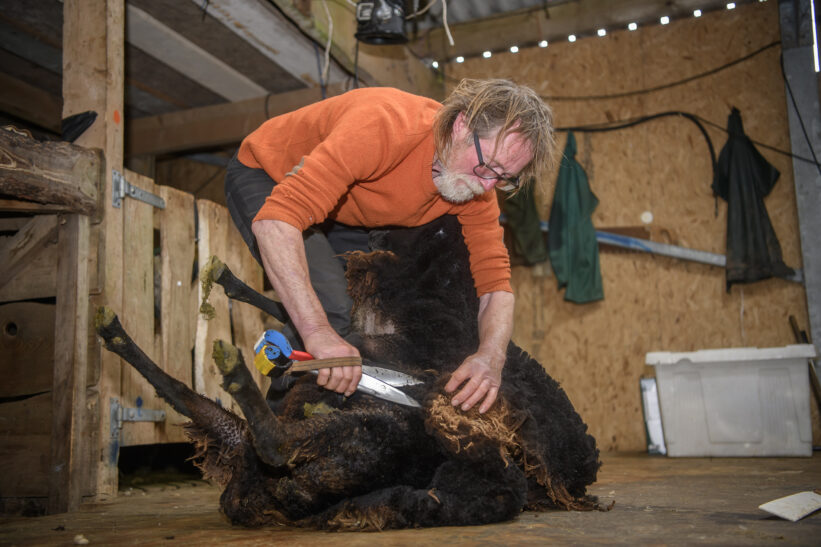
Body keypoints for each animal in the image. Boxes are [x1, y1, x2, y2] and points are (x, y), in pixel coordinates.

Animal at [96, 215, 604, 532]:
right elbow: (295, 314)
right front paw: (229, 282)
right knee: (188, 394)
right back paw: (116, 330)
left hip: (373, 440)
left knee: (277, 441)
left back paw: (232, 368)